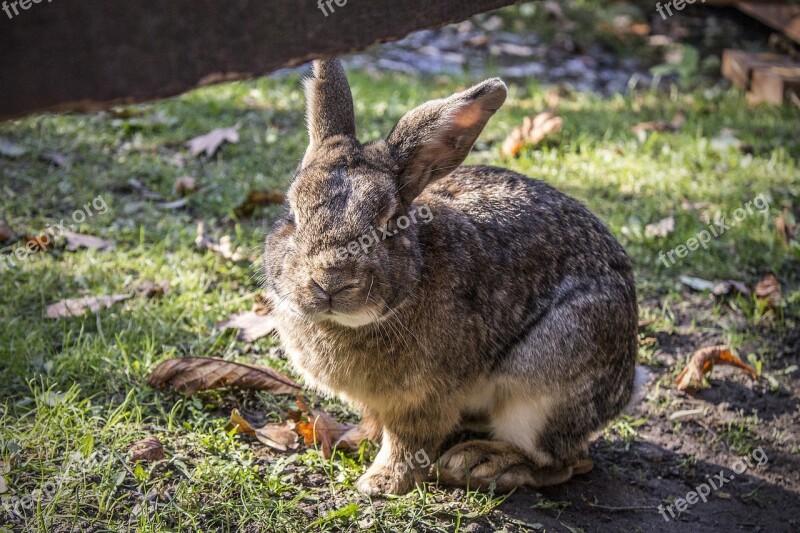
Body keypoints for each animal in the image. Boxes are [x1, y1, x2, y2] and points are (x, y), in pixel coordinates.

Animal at [264, 59, 644, 494]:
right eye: (292, 214)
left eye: (389, 223)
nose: (329, 283)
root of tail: (625, 386)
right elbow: (376, 424)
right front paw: (352, 440)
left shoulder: (425, 399)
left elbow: (408, 442)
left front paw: (381, 482)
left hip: (544, 382)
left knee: (566, 461)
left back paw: (481, 463)